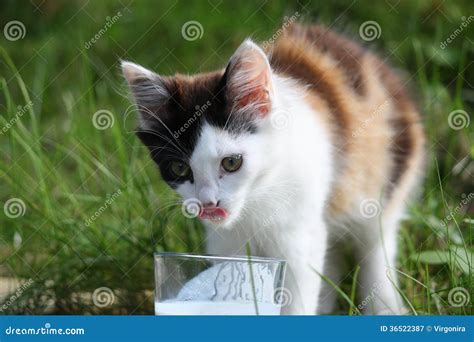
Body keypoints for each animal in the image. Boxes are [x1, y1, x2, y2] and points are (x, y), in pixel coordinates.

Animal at [122, 22, 426, 314]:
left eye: (231, 162)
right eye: (179, 169)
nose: (208, 203)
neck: (257, 198)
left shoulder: (299, 234)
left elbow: (297, 295)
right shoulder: (226, 242)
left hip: (384, 184)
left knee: (376, 244)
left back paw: (385, 306)